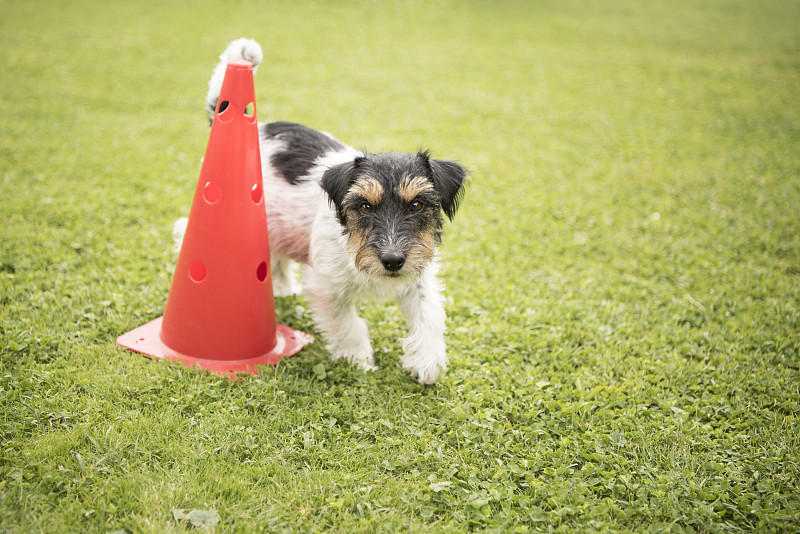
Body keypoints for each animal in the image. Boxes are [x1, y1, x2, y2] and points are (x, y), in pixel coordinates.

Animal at [172, 39, 466, 386]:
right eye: (364, 206)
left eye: (417, 204)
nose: (393, 261)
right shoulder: (326, 286)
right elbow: (349, 325)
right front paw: (358, 360)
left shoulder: (419, 278)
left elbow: (429, 313)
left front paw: (427, 360)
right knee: (185, 231)